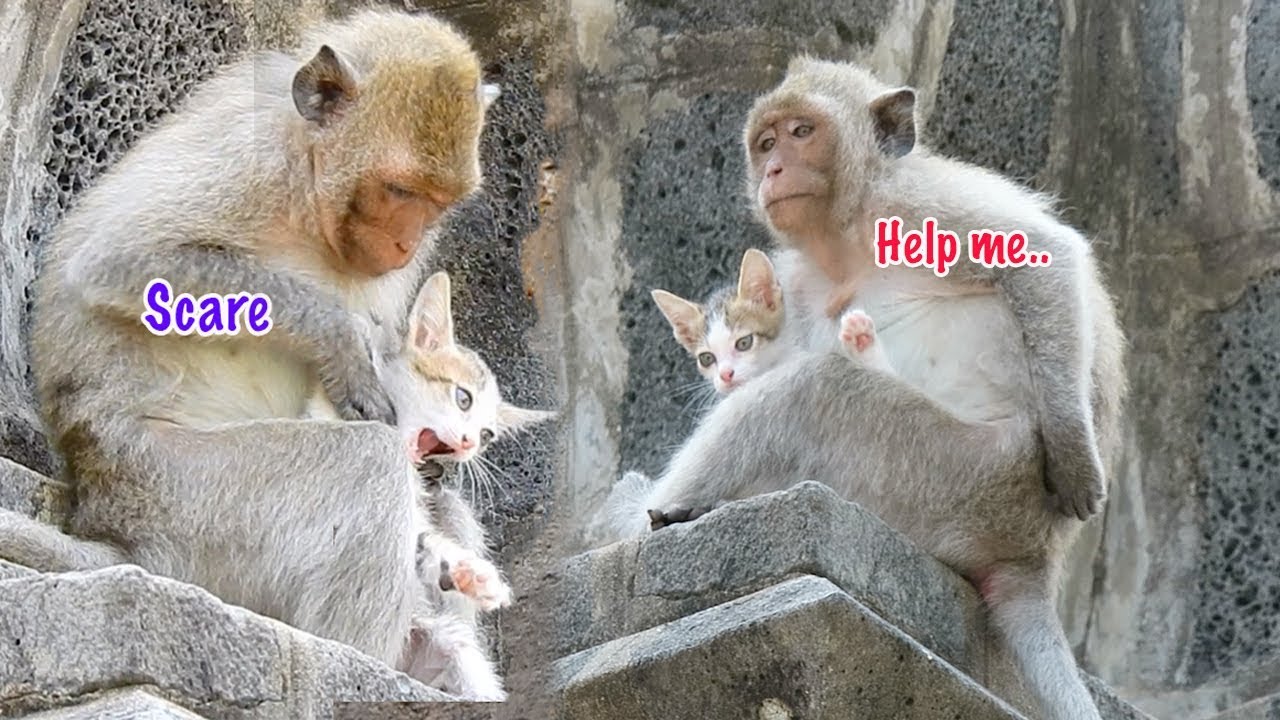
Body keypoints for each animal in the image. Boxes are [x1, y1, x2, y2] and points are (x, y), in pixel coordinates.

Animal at [5, 8, 502, 676]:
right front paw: (341, 342)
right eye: (400, 191)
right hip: (185, 497)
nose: (404, 243)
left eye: (437, 203)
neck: (310, 185)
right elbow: (119, 261)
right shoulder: (248, 157)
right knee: (365, 463)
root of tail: (110, 525)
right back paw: (362, 662)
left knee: (434, 501)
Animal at [614, 57, 1127, 720]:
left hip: (954, 478)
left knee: (812, 390)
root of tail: (1036, 556)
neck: (846, 242)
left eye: (802, 132)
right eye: (766, 143)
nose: (774, 170)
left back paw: (646, 513)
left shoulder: (915, 202)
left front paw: (1071, 454)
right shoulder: (798, 283)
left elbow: (1044, 255)